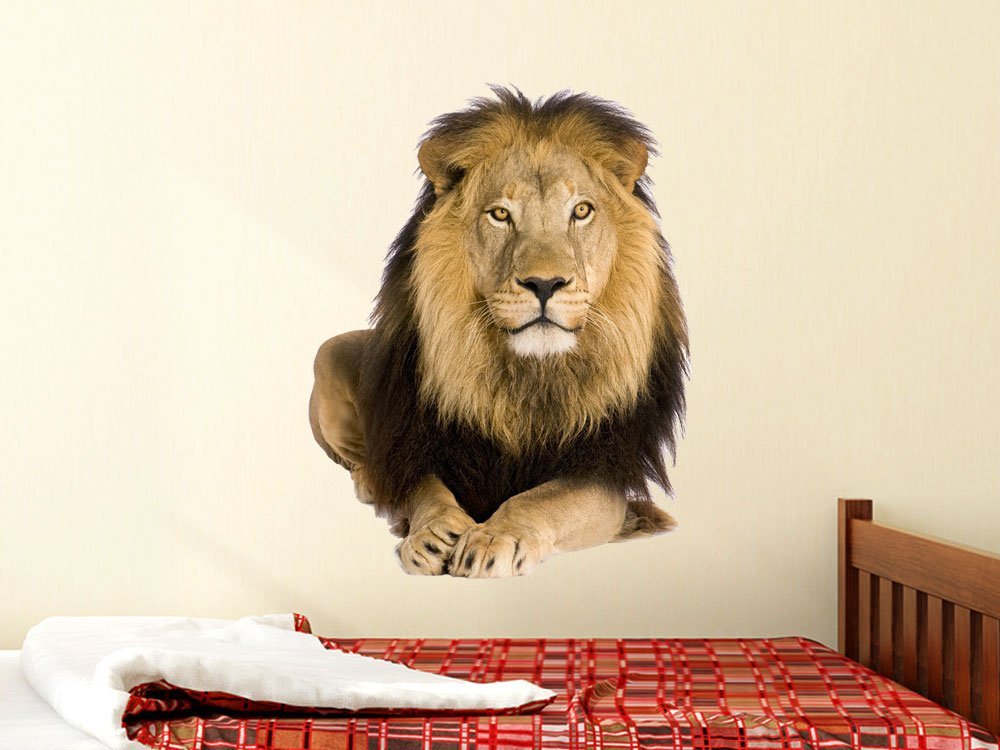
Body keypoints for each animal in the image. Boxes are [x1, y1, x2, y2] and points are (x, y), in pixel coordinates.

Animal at [309, 85, 689, 578]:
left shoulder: (603, 475)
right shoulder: (417, 445)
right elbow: (426, 491)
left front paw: (492, 537)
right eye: (500, 214)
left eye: (581, 211)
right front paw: (432, 532)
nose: (544, 284)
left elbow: (540, 500)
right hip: (329, 351)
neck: (526, 375)